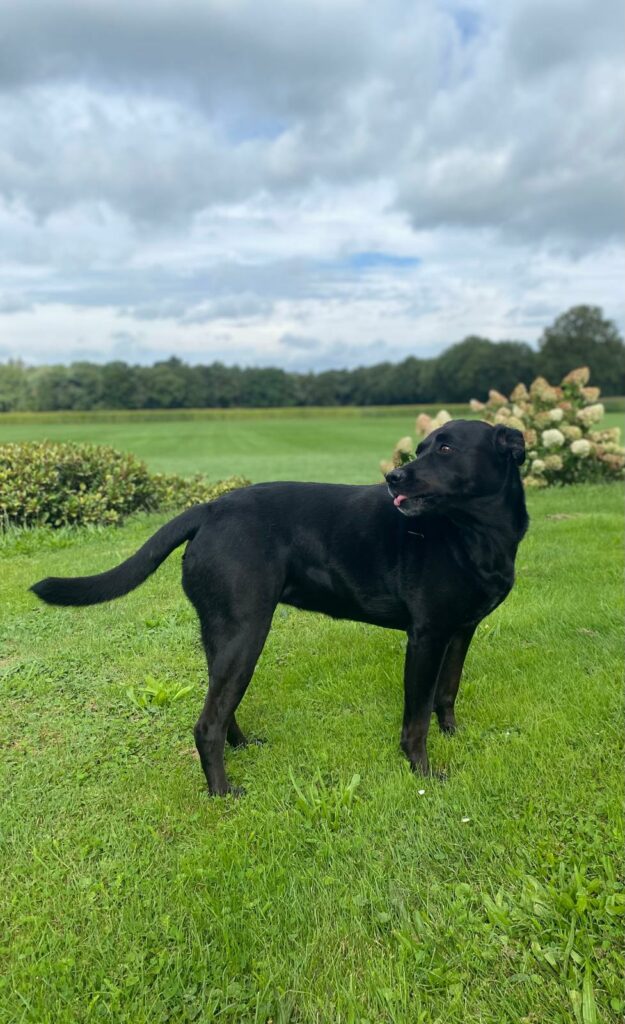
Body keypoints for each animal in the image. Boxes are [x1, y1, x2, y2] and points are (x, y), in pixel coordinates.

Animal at [30, 419, 524, 794]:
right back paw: (222, 792)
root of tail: (210, 508)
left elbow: (447, 692)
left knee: (221, 706)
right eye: (421, 448)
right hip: (247, 633)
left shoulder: (460, 630)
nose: (393, 479)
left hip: (223, 633)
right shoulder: (426, 636)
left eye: (445, 447)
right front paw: (423, 772)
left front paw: (455, 735)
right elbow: (416, 717)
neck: (477, 532)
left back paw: (242, 749)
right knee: (207, 722)